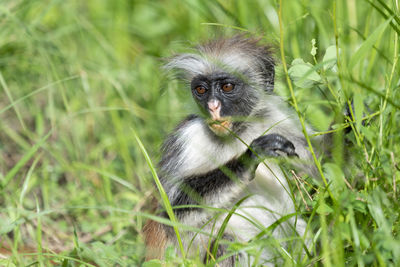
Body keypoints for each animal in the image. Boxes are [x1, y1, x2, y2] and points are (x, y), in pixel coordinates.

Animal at [144, 36, 316, 267]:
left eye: (227, 86)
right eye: (201, 90)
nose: (213, 106)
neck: (236, 133)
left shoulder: (275, 118)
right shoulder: (187, 138)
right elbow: (173, 212)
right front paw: (250, 156)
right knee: (227, 243)